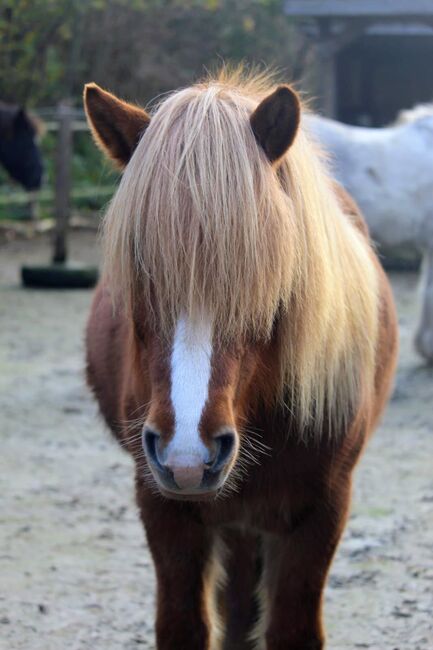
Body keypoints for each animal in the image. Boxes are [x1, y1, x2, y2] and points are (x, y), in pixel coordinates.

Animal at [84, 69, 398, 649]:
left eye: (268, 276)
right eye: (138, 266)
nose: (187, 457)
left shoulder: (321, 513)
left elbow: (290, 629)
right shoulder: (165, 510)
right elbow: (184, 627)